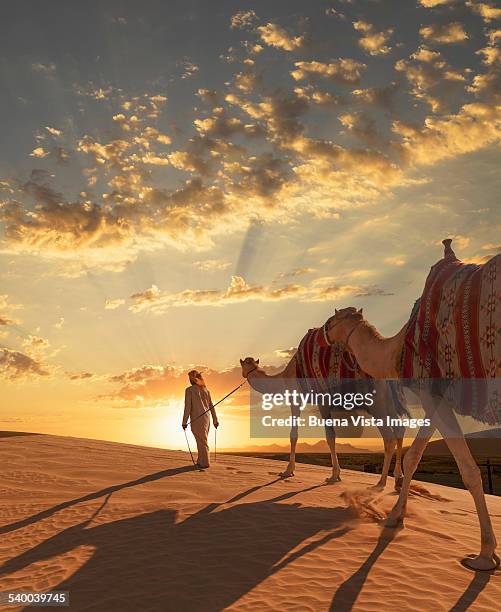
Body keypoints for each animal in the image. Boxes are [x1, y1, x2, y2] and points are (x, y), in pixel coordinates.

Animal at [240, 328, 408, 490]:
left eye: (244, 364)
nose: (243, 374)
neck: (284, 377)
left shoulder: (302, 398)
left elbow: (304, 435)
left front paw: (291, 471)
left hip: (376, 401)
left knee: (389, 438)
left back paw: (382, 481)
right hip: (389, 400)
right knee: (400, 428)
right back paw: (398, 477)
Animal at [324, 238, 500, 568]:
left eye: (337, 316)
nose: (324, 330)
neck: (398, 349)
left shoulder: (432, 386)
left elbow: (468, 470)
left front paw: (485, 554)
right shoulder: (435, 393)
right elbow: (414, 456)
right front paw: (395, 516)